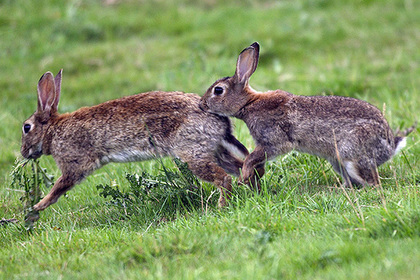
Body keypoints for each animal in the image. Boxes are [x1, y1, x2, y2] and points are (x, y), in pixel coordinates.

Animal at [20, 70, 249, 212]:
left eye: (26, 127)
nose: (23, 152)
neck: (53, 131)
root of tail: (220, 120)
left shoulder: (73, 163)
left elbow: (60, 187)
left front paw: (36, 207)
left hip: (193, 153)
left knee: (223, 178)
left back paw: (221, 205)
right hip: (215, 150)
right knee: (239, 167)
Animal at [199, 42, 416, 188]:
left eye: (218, 90)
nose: (201, 104)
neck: (249, 103)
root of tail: (390, 146)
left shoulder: (274, 140)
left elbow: (253, 157)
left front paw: (244, 175)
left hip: (351, 154)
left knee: (372, 182)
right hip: (336, 161)